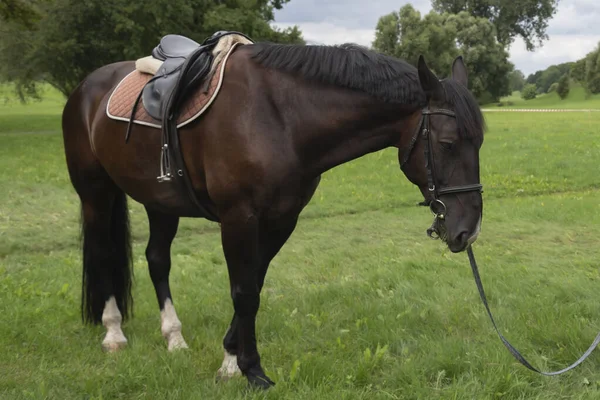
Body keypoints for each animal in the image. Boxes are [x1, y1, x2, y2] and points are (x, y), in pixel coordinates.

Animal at [61, 36, 486, 388]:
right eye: (448, 143)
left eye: (479, 141)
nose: (468, 230)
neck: (280, 116)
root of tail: (85, 87)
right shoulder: (239, 218)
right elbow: (244, 291)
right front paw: (252, 370)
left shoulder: (281, 219)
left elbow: (254, 285)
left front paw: (230, 360)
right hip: (96, 192)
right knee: (102, 254)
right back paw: (113, 333)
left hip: (160, 201)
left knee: (156, 260)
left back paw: (174, 337)